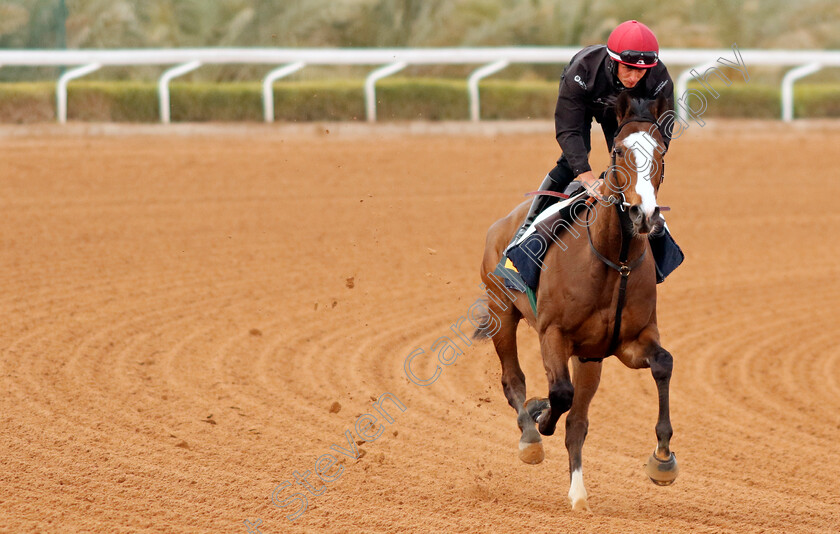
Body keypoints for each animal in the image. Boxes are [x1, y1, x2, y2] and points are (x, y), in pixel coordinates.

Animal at [476, 93, 680, 516]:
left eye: (661, 150)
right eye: (618, 150)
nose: (644, 214)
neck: (614, 260)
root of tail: (501, 224)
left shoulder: (627, 342)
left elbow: (663, 363)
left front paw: (663, 458)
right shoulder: (553, 334)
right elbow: (558, 394)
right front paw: (540, 416)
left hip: (590, 359)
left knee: (578, 424)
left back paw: (578, 493)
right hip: (500, 310)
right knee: (513, 381)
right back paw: (530, 436)